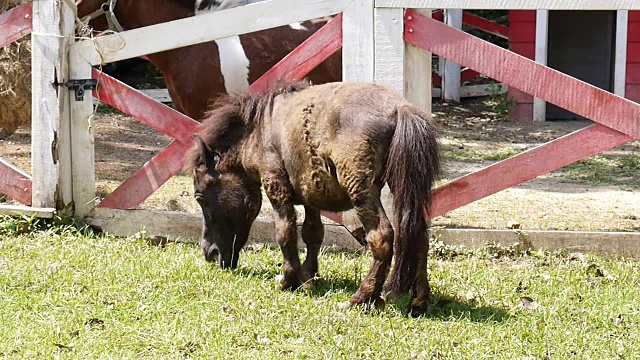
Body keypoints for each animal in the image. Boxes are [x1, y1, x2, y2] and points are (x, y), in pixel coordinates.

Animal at [184, 81, 440, 316]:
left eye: (200, 197)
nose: (209, 253)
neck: (258, 130)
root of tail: (399, 107)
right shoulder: (310, 194)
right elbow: (313, 233)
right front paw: (309, 276)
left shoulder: (275, 184)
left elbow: (285, 232)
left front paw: (288, 280)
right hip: (403, 186)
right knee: (419, 236)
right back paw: (418, 302)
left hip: (361, 189)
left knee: (382, 237)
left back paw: (361, 298)